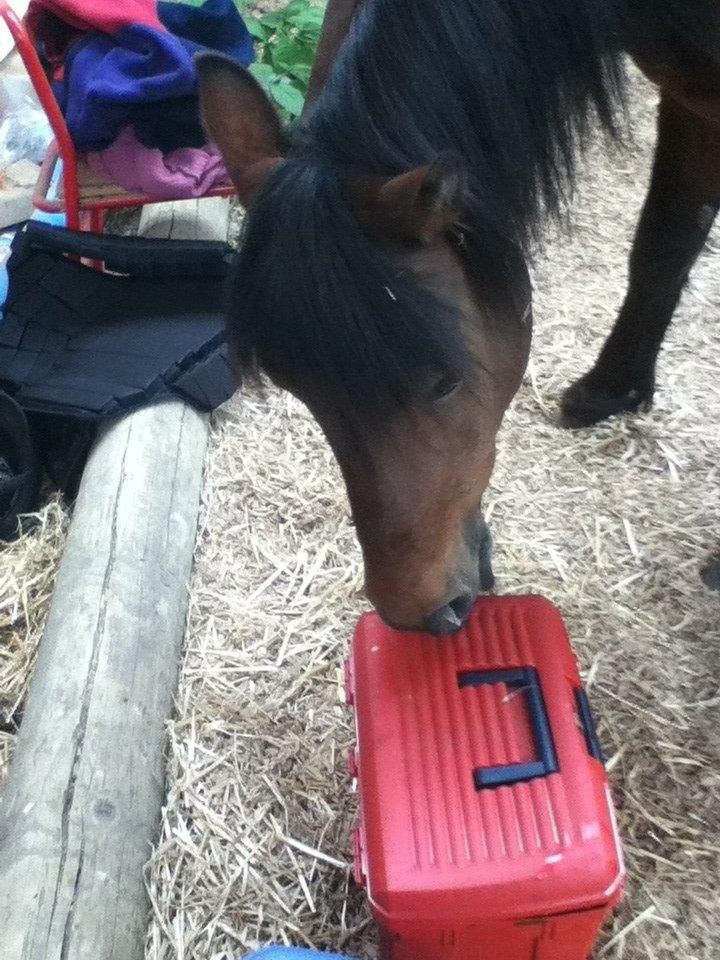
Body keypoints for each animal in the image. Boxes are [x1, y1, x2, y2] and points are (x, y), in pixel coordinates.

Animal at [195, 0, 720, 632]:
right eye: (299, 391)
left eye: (446, 383)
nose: (418, 616)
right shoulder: (687, 97)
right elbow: (664, 243)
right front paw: (613, 389)